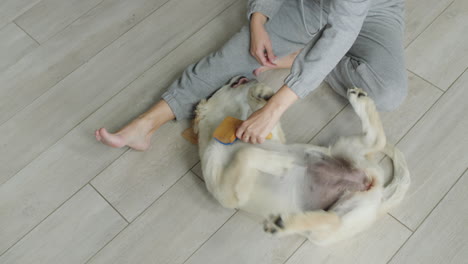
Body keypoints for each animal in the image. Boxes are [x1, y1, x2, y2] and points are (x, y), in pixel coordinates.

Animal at [194, 75, 410, 244]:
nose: (242, 75)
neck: (229, 131)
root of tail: (378, 193)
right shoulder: (226, 194)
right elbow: (244, 154)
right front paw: (278, 162)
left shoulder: (271, 136)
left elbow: (262, 121)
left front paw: (261, 93)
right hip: (336, 218)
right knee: (330, 219)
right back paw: (283, 224)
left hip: (342, 151)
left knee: (377, 140)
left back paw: (360, 100)